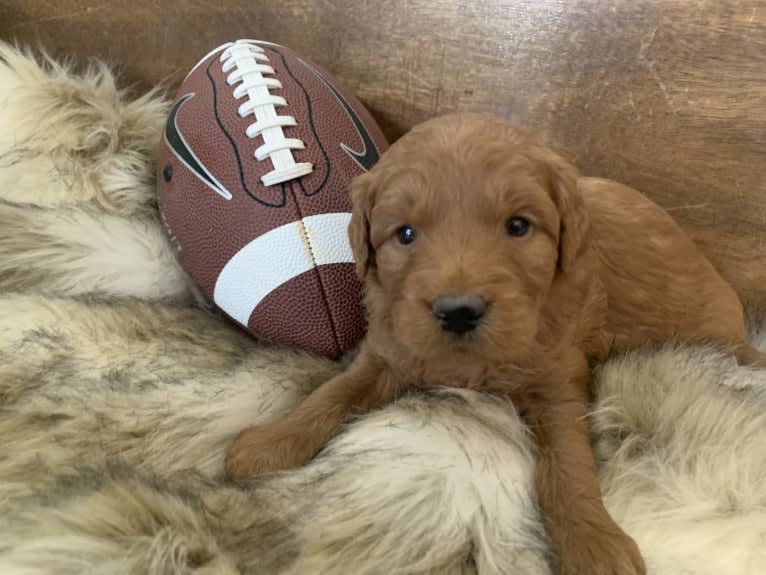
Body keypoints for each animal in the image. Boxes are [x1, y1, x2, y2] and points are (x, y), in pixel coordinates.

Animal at [225, 112, 764, 575]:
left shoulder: (557, 377)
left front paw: (592, 544)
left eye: (518, 226)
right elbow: (333, 394)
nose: (459, 311)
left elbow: (567, 465)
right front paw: (272, 441)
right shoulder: (391, 348)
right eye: (405, 234)